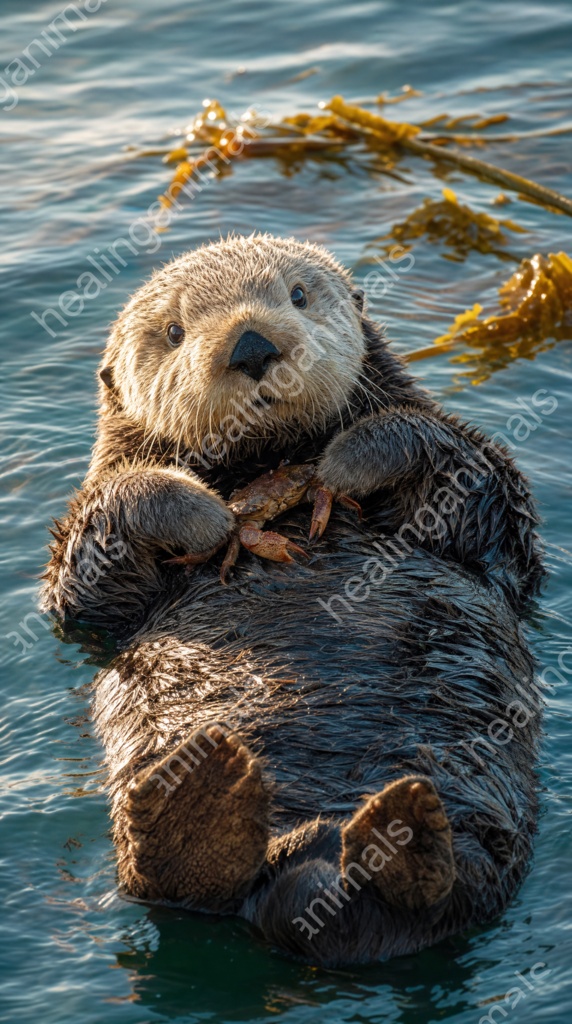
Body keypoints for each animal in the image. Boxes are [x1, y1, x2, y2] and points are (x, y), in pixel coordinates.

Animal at [41, 233, 545, 966]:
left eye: (298, 295)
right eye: (174, 331)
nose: (251, 345)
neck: (263, 464)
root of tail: (307, 877)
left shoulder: (492, 509)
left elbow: (473, 481)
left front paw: (346, 461)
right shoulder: (88, 573)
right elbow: (87, 574)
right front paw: (203, 514)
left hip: (471, 834)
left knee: (449, 890)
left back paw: (399, 835)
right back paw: (203, 809)